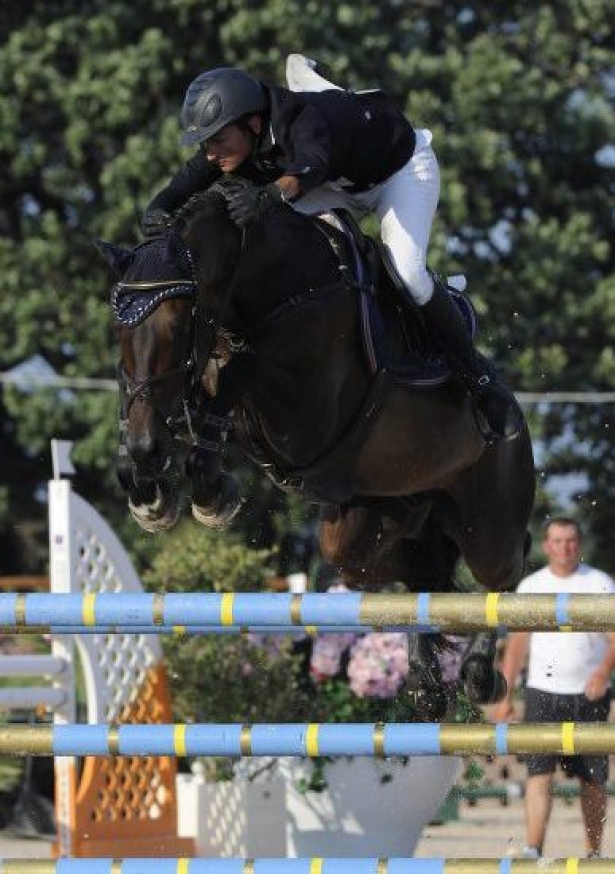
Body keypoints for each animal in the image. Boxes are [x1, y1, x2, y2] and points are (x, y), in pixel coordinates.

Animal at [100, 182, 536, 716]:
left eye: (179, 326)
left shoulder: (308, 411)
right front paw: (149, 492)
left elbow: (239, 372)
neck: (277, 292)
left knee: (502, 573)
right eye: (120, 331)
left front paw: (209, 492)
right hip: (367, 528)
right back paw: (427, 684)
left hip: (486, 522)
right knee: (418, 572)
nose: (147, 447)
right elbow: (188, 394)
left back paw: (478, 674)